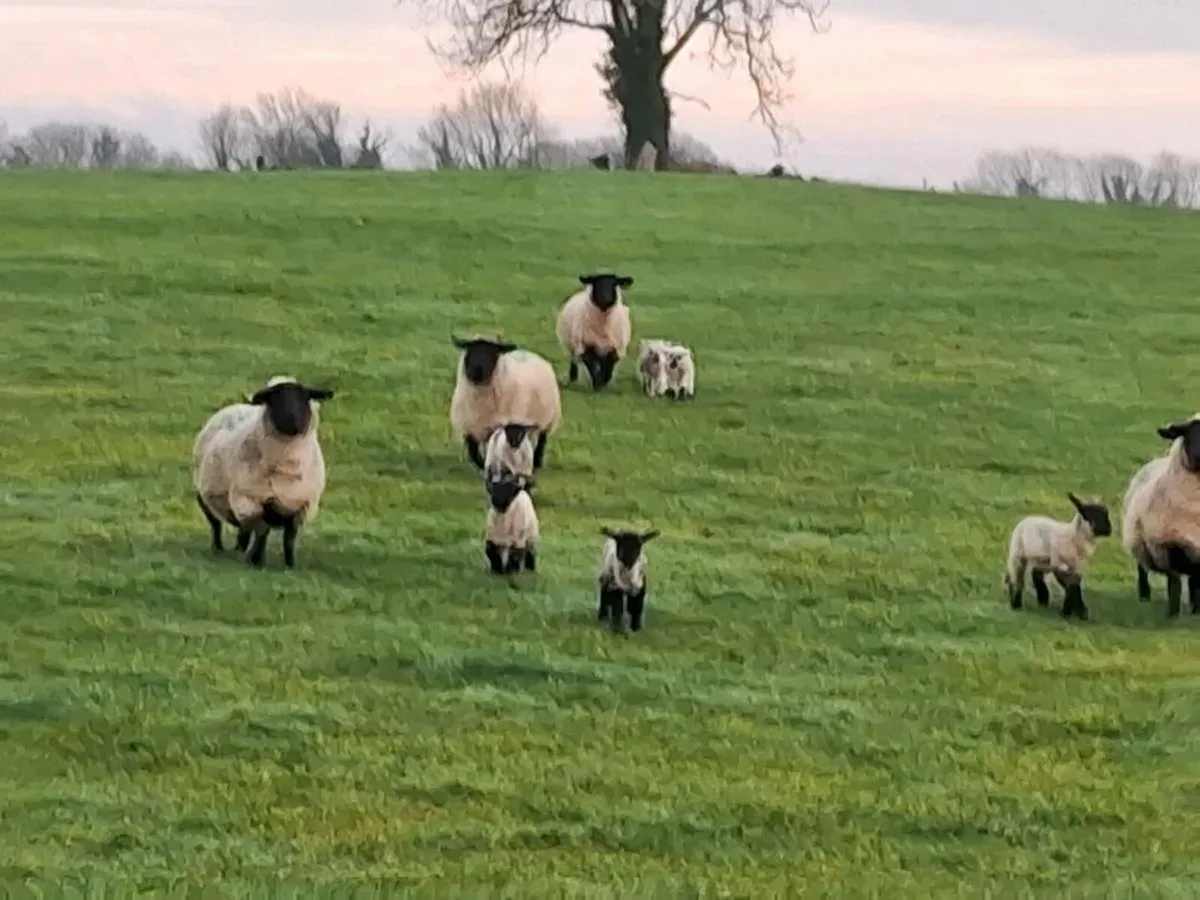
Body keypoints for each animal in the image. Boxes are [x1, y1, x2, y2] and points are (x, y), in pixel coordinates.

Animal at [193, 375, 334, 568]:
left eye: (304, 397)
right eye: (274, 399)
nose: (293, 421)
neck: (286, 465)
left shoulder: (299, 507)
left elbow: (289, 539)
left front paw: (289, 565)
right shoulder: (250, 500)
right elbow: (262, 531)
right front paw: (257, 560)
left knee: (243, 531)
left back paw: (239, 550)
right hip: (207, 496)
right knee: (216, 524)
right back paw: (220, 549)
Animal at [449, 336, 563, 471]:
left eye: (493, 353)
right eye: (470, 351)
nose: (477, 370)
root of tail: (531, 354)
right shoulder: (469, 426)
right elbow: (473, 451)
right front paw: (482, 464)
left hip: (548, 419)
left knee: (542, 440)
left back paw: (536, 462)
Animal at [1122, 415, 1200, 616]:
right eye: (1188, 433)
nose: (1197, 455)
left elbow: (1197, 583)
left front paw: (1196, 610)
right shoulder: (1166, 544)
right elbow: (1175, 583)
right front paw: (1173, 613)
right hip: (1139, 541)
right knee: (1142, 569)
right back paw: (1144, 596)